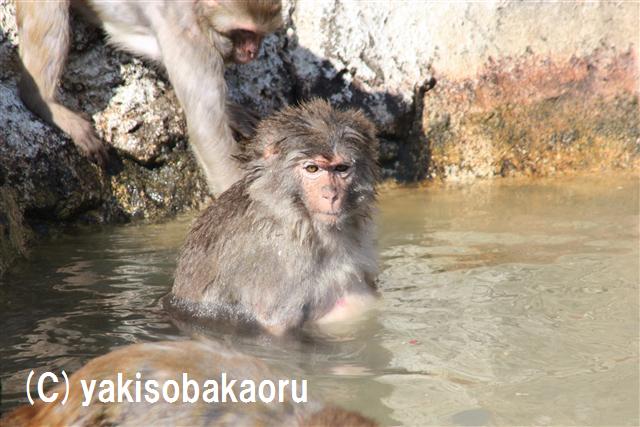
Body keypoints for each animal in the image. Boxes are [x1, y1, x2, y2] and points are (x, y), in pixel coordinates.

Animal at [16, 0, 282, 194]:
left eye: (260, 34)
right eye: (245, 32)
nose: (253, 51)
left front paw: (230, 111)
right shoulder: (189, 36)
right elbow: (208, 134)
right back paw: (42, 100)